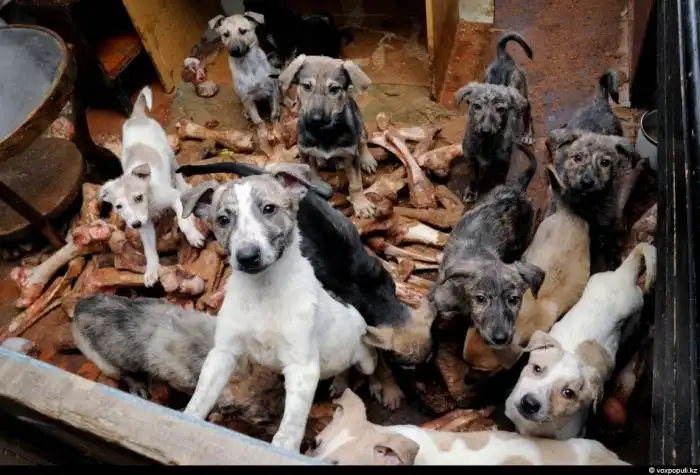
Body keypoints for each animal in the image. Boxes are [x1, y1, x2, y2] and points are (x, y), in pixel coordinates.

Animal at [98, 87, 205, 287]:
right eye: (118, 206)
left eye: (138, 197)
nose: (135, 224)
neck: (150, 201)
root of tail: (136, 117)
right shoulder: (145, 226)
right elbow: (149, 250)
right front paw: (151, 270)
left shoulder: (173, 198)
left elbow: (183, 221)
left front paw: (193, 236)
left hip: (168, 152)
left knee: (176, 171)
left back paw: (183, 184)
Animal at [176, 161, 433, 409]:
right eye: (404, 366)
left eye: (430, 359)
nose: (425, 388)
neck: (378, 297)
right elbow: (374, 361)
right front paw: (386, 387)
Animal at [179, 163, 378, 452]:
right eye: (223, 219)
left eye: (269, 208)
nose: (247, 257)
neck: (263, 291)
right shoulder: (223, 352)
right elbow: (200, 399)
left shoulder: (302, 367)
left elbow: (289, 429)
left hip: (365, 358)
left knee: (365, 369)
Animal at [278, 54, 378, 218]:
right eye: (306, 86)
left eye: (334, 89)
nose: (316, 118)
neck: (324, 132)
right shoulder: (305, 152)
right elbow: (312, 173)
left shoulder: (350, 154)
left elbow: (356, 184)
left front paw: (361, 204)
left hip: (360, 124)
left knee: (363, 141)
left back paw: (367, 160)